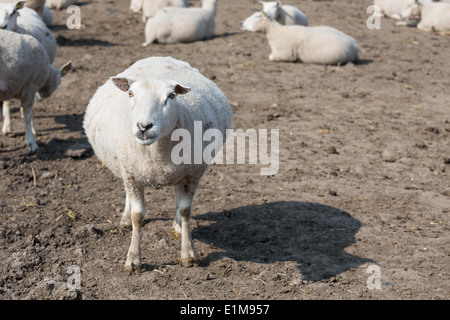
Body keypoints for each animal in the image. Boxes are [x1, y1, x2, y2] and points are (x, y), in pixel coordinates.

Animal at [82, 56, 234, 272]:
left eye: (171, 96)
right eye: (131, 93)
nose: (144, 126)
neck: (157, 155)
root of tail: (159, 58)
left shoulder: (192, 173)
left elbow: (185, 211)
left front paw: (188, 254)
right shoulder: (131, 173)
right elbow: (138, 215)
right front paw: (133, 259)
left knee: (178, 201)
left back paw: (177, 226)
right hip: (126, 167)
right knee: (128, 194)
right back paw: (125, 220)